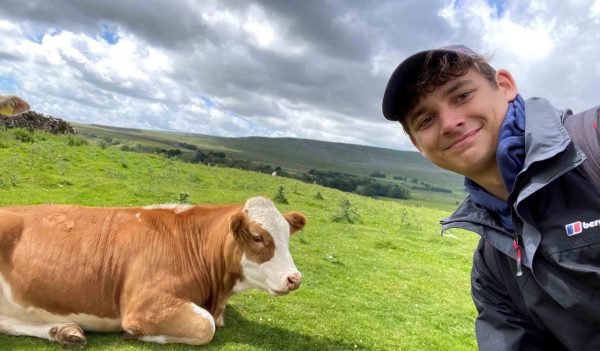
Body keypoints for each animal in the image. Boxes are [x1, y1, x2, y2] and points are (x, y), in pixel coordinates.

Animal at [0, 197, 308, 348]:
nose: (295, 279)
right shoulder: (144, 305)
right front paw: (135, 335)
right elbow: (205, 326)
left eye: (287, 236)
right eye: (258, 237)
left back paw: (64, 331)